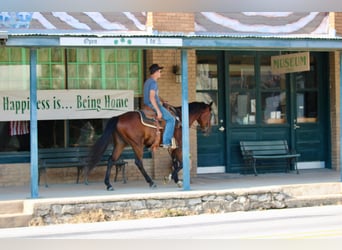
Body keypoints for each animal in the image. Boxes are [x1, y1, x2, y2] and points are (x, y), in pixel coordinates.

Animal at [83, 100, 212, 190]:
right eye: (210, 114)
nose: (207, 130)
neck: (181, 119)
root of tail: (119, 117)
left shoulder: (172, 149)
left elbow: (176, 163)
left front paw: (177, 180)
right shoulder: (179, 147)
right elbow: (181, 164)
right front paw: (169, 178)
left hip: (120, 144)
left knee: (111, 160)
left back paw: (108, 184)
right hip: (137, 144)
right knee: (138, 162)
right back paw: (151, 182)